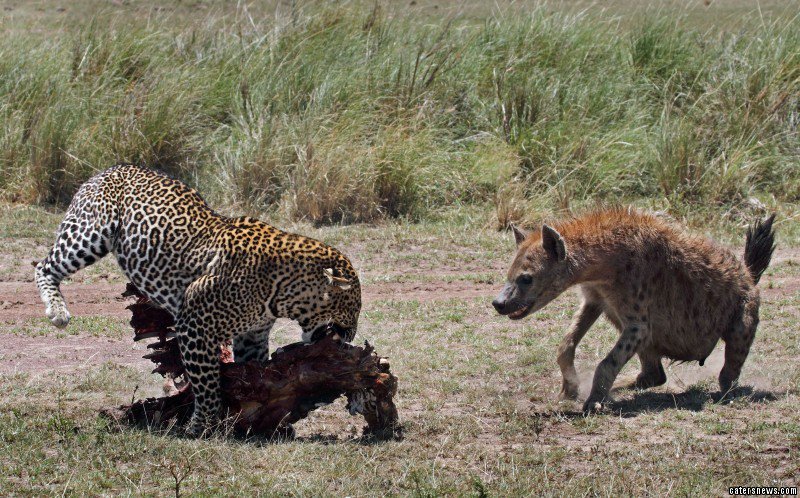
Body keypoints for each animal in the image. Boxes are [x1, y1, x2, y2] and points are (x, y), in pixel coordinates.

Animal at [34, 164, 362, 436]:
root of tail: (109, 169)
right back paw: (57, 311)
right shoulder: (196, 326)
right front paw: (201, 425)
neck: (283, 291)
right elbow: (206, 384)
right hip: (90, 234)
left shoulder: (252, 335)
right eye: (353, 310)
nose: (350, 337)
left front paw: (253, 413)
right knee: (44, 266)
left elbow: (253, 374)